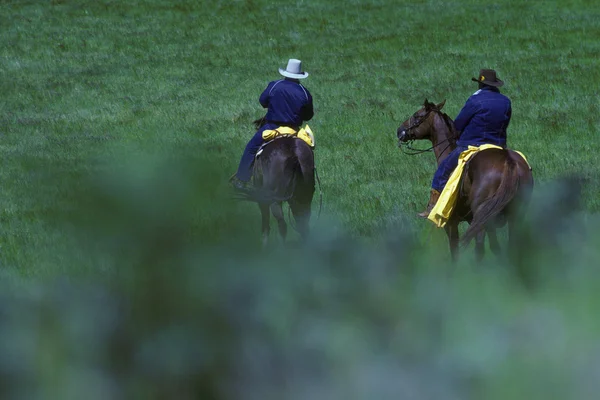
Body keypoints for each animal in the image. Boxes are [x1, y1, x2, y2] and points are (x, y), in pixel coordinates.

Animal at [398, 99, 536, 260]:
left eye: (417, 115)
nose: (400, 131)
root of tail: (509, 161)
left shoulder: (451, 223)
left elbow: (455, 252)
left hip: (482, 217)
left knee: (480, 248)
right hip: (514, 216)